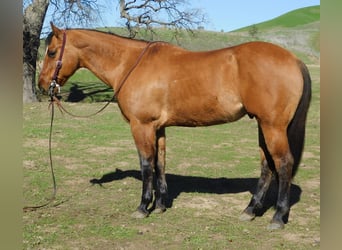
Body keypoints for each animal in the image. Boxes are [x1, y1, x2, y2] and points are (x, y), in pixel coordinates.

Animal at [38, 22, 312, 229]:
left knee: (283, 164)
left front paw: (143, 207)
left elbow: (146, 164)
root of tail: (294, 60)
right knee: (267, 166)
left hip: (273, 127)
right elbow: (160, 163)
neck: (131, 64)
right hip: (263, 126)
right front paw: (160, 205)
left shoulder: (142, 126)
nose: (42, 85)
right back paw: (250, 210)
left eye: (51, 52)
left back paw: (277, 217)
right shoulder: (158, 128)